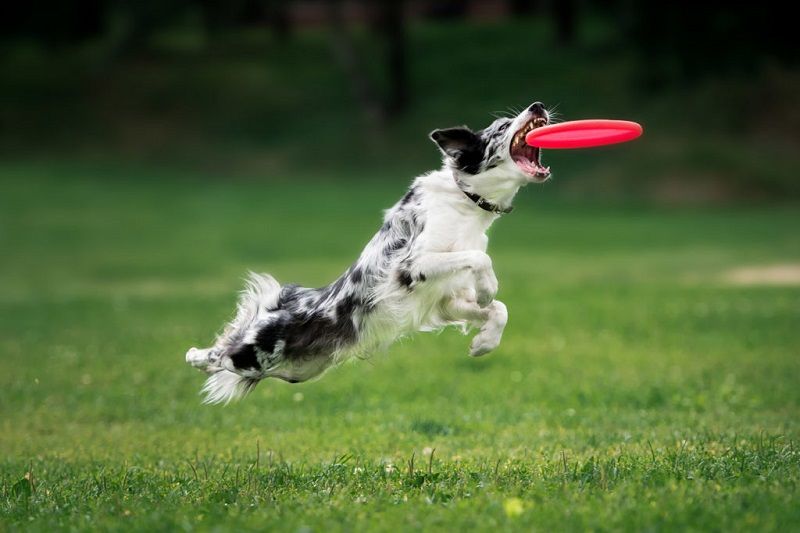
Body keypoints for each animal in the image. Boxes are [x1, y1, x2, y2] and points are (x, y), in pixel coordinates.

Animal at [187, 103, 552, 404]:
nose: (538, 105)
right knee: (220, 354)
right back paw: (195, 355)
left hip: (295, 371)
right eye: (503, 125)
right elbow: (480, 261)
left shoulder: (447, 299)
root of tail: (281, 302)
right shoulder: (411, 265)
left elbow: (499, 309)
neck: (466, 202)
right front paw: (488, 288)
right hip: (256, 354)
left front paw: (484, 343)